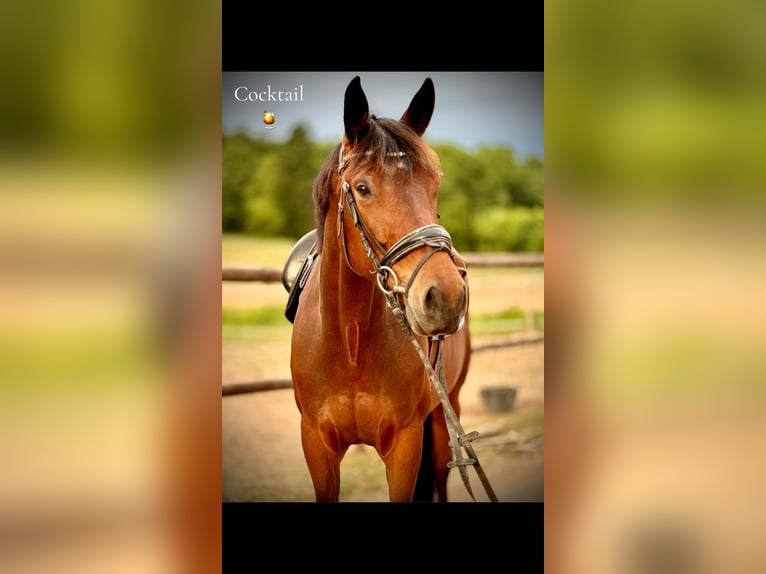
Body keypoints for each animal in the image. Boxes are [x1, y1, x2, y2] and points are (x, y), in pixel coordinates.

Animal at [289, 76, 473, 502]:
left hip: (446, 414)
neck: (350, 342)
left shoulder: (405, 446)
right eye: (362, 187)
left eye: (434, 185)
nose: (447, 297)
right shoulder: (317, 446)